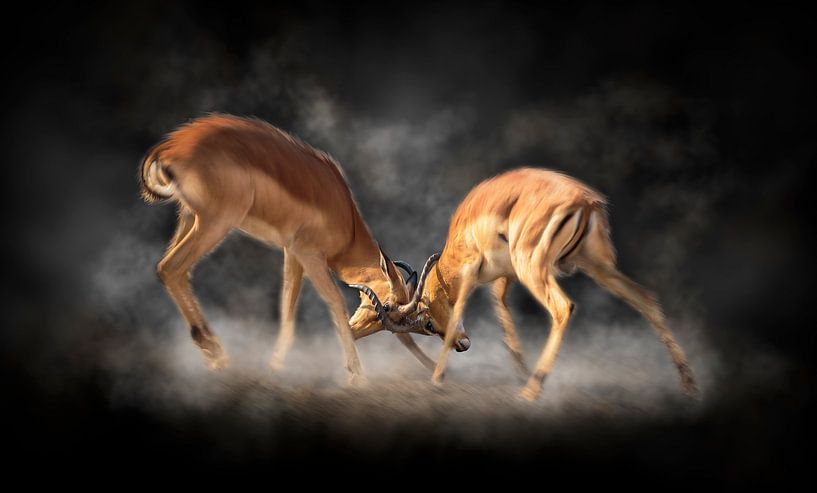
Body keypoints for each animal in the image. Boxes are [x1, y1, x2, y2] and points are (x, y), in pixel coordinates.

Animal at [138, 114, 466, 384]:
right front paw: (358, 376)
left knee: (173, 271)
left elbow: (287, 308)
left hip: (190, 217)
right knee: (170, 267)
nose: (462, 343)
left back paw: (215, 356)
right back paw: (217, 355)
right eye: (389, 313)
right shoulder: (309, 253)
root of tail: (170, 148)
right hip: (216, 222)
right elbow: (334, 300)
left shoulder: (291, 252)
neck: (346, 221)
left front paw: (275, 368)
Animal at [360, 167, 698, 400]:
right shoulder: (505, 277)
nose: (463, 345)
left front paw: (437, 378)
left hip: (535, 269)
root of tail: (586, 202)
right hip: (596, 266)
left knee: (563, 308)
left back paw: (532, 391)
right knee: (645, 298)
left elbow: (460, 312)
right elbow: (501, 308)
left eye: (428, 324)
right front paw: (520, 368)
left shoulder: (472, 274)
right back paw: (689, 384)